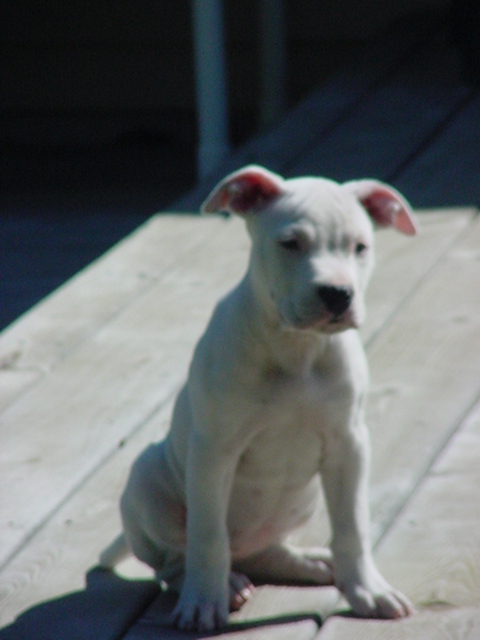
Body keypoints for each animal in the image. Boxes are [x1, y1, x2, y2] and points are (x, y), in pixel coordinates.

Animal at [100, 165, 417, 631]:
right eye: (290, 244)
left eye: (360, 247)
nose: (337, 294)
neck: (297, 348)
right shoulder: (214, 451)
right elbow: (207, 537)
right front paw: (203, 603)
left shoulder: (349, 445)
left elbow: (352, 527)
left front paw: (367, 589)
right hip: (147, 478)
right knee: (175, 560)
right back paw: (223, 585)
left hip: (297, 504)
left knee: (264, 552)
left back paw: (313, 562)